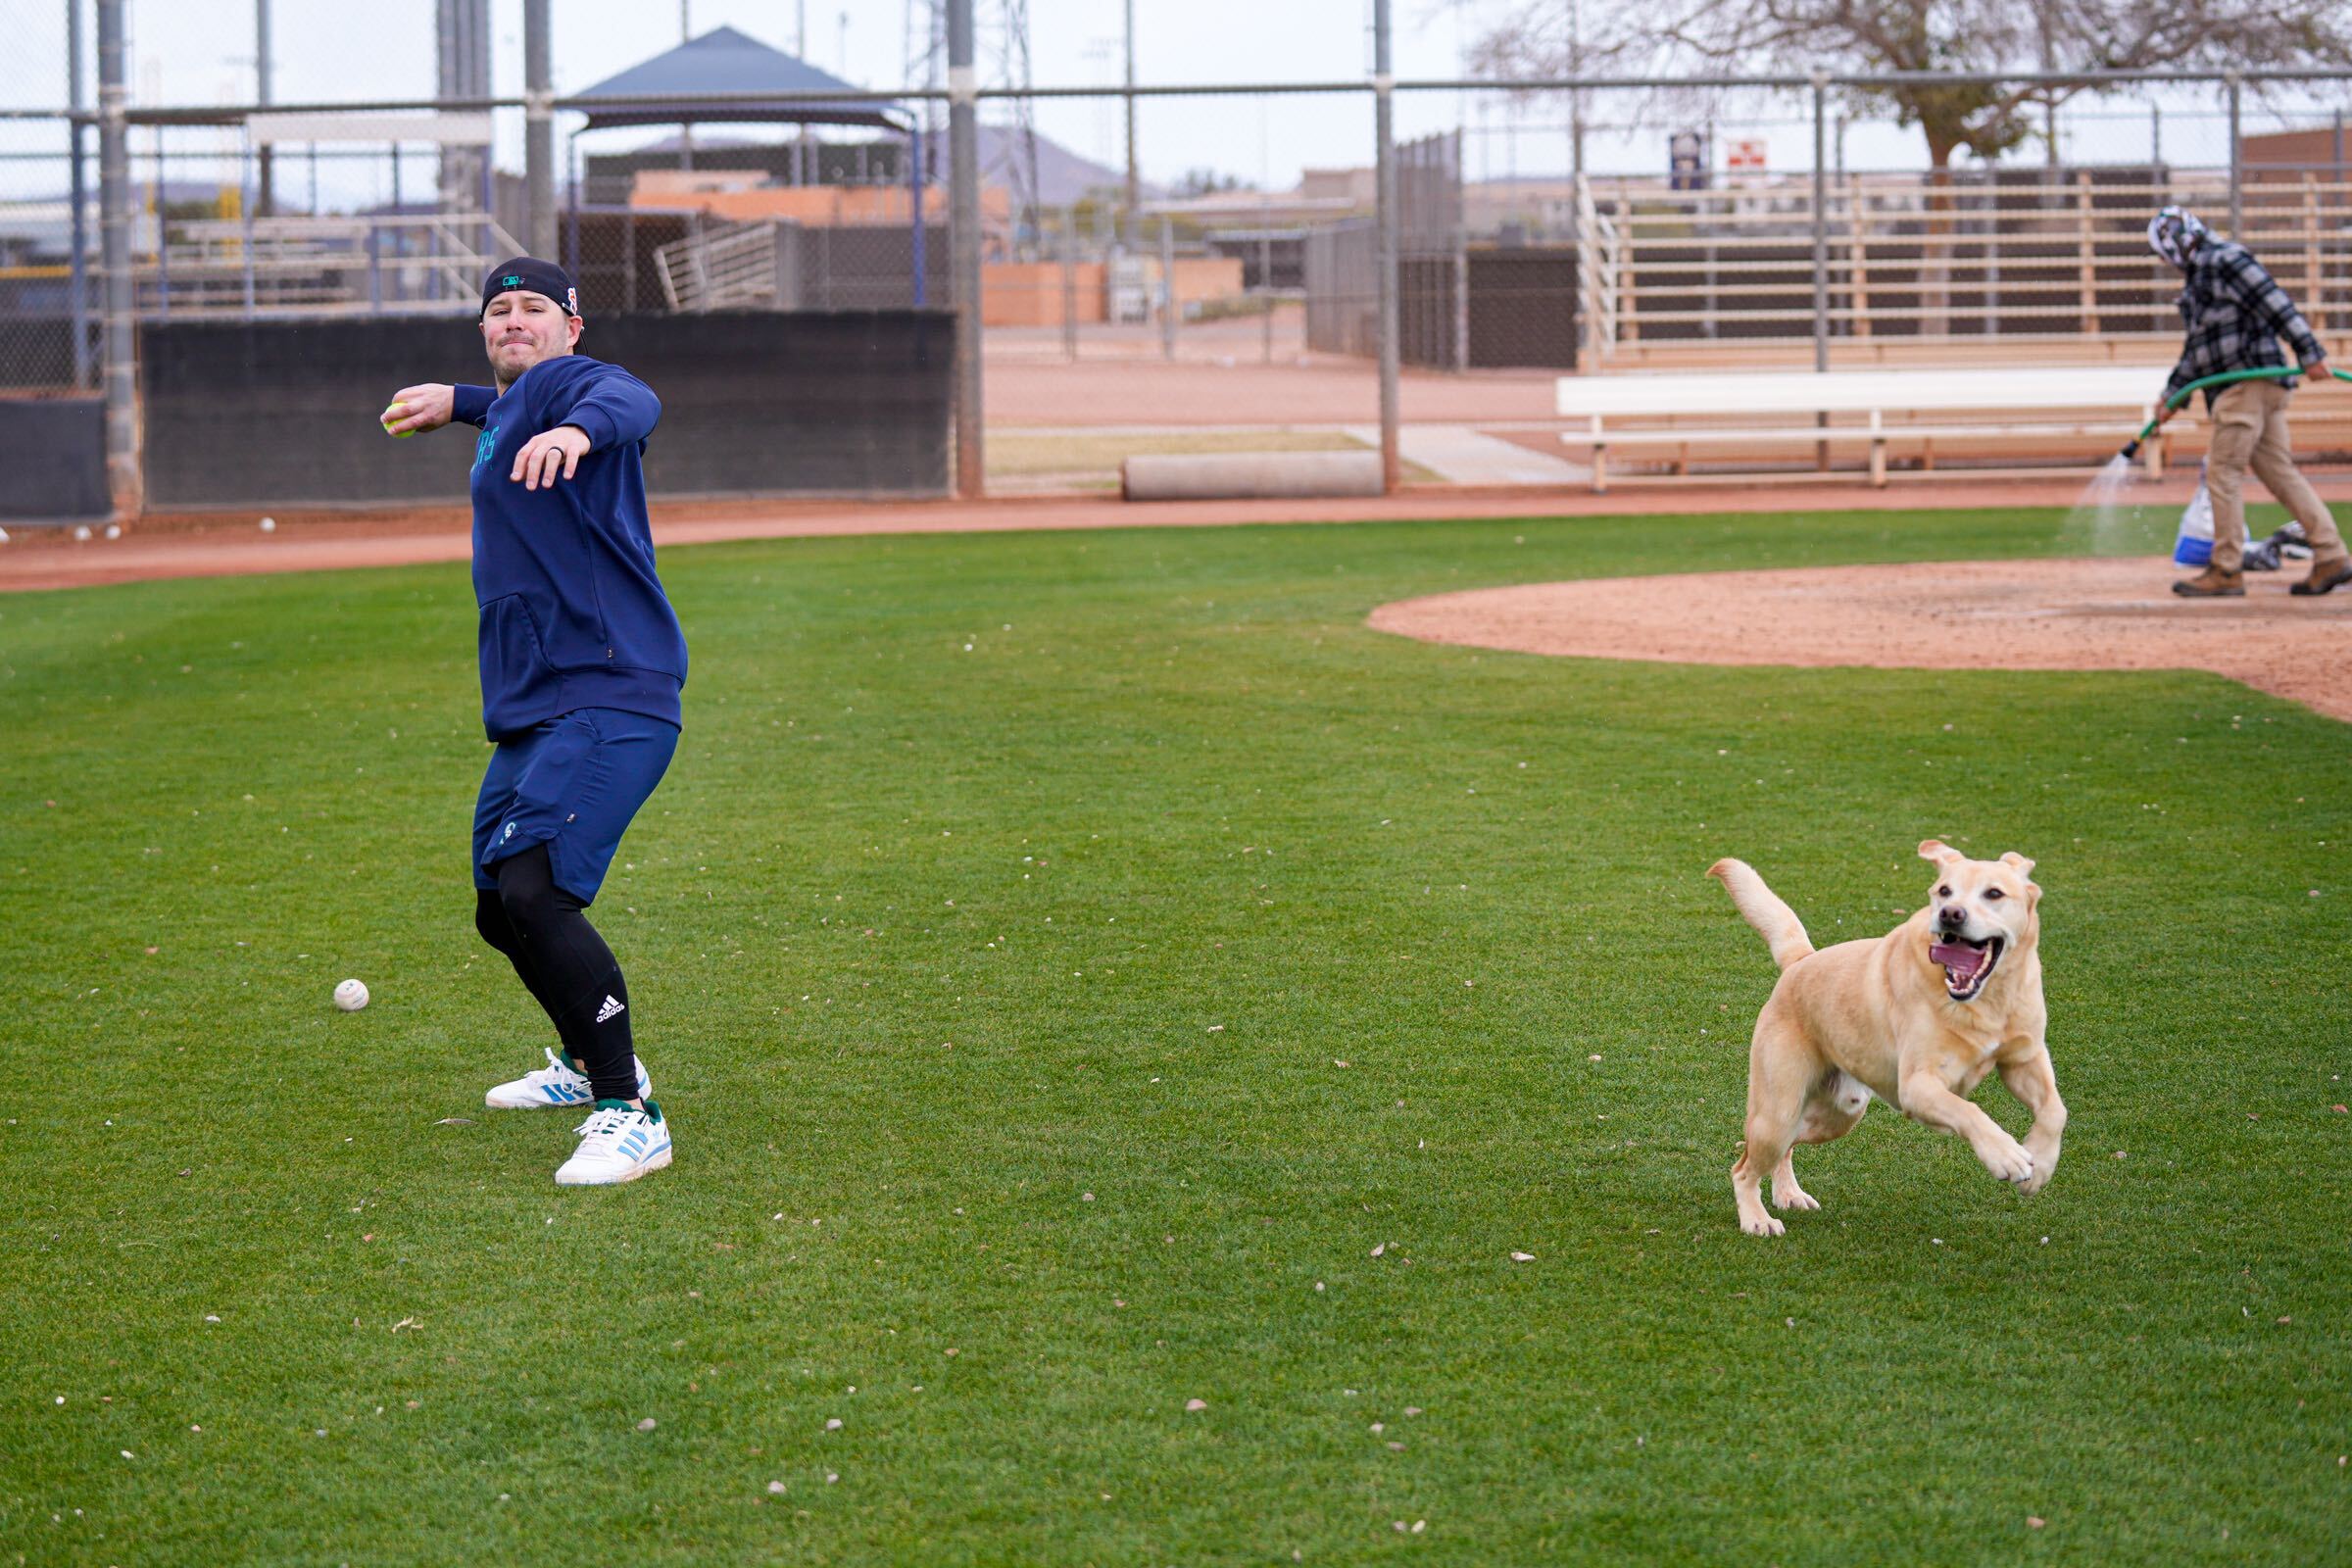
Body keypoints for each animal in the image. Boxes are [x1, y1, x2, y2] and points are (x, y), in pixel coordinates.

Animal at [1712, 846, 2060, 1241]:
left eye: (1994, 893)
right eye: (1944, 891)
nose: (1950, 915)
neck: (1986, 1002)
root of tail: (1801, 961)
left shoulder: (2024, 1060)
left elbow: (2055, 1110)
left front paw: (2040, 1165)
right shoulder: (1918, 1085)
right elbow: (1969, 1110)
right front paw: (2007, 1156)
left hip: (1838, 1114)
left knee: (1782, 1151)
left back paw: (1789, 1194)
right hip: (1778, 1110)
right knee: (1743, 1168)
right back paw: (1756, 1219)